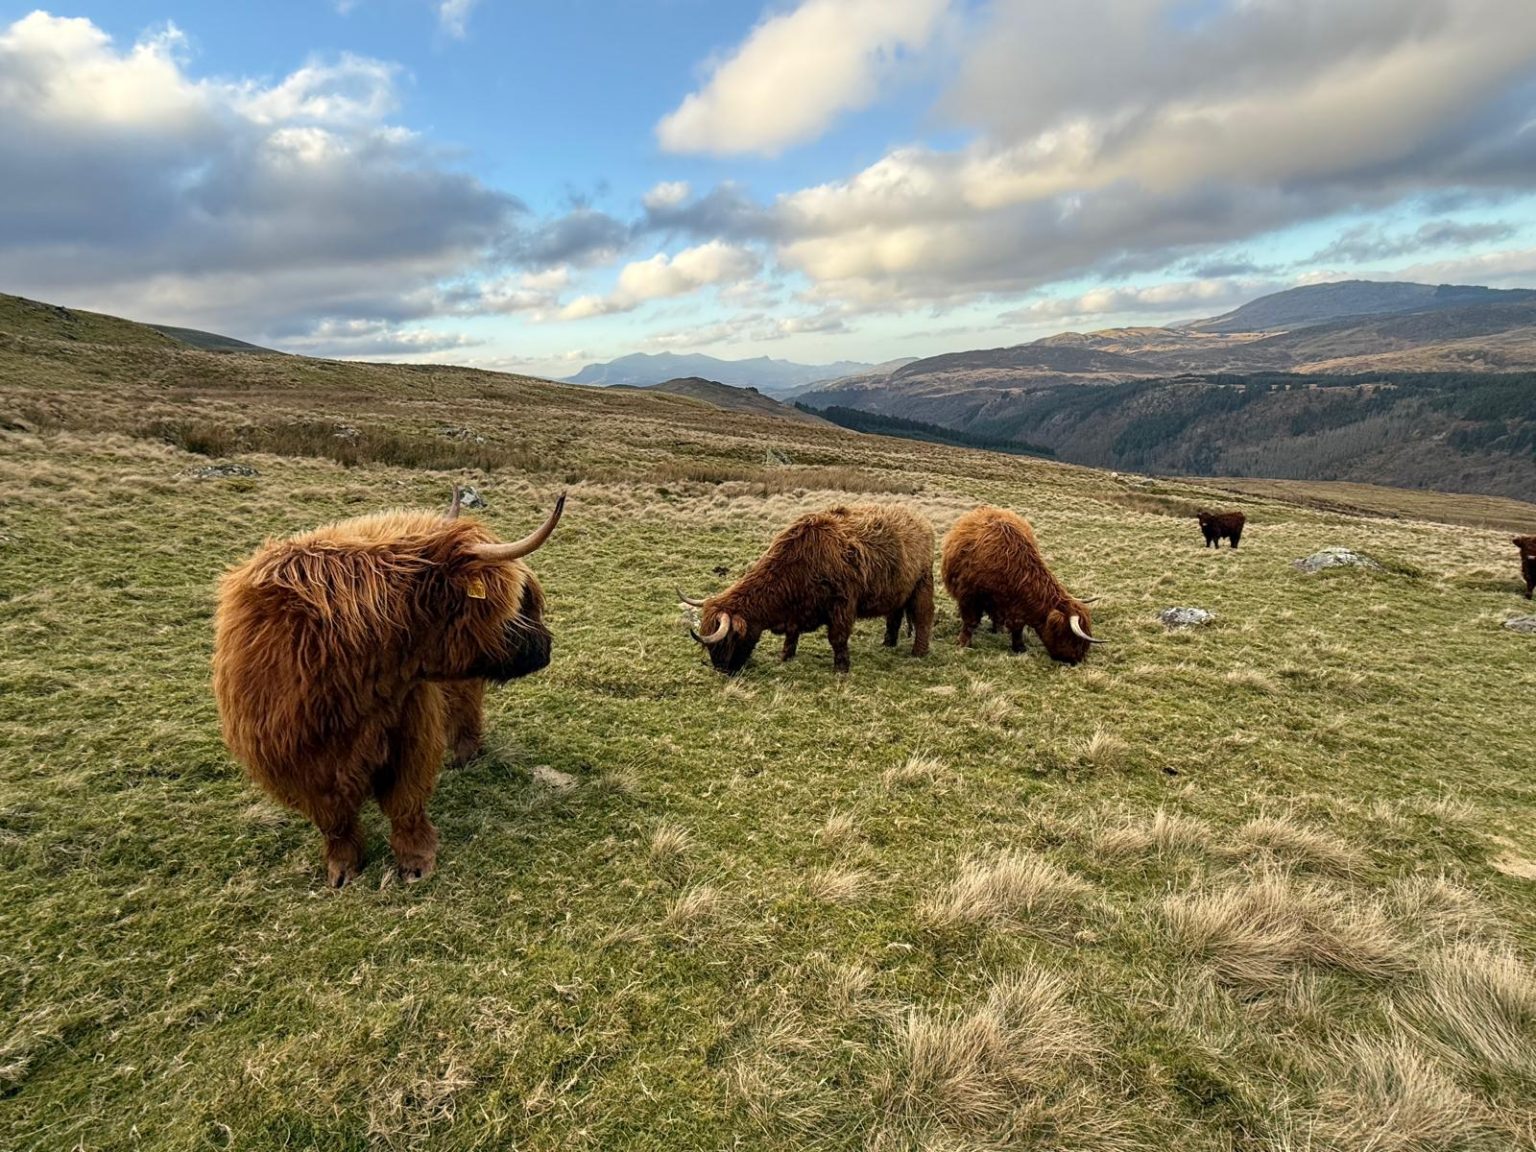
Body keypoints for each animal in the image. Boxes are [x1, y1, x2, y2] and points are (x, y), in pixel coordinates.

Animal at [212, 488, 564, 887]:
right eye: (513, 604)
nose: (546, 646)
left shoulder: (410, 732)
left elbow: (405, 802)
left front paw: (416, 861)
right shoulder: (290, 758)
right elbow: (334, 820)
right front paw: (343, 869)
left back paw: (466, 756)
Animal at [679, 503, 935, 675]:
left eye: (727, 641)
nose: (722, 670)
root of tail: (920, 519)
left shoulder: (842, 603)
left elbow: (837, 637)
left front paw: (841, 668)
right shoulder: (796, 612)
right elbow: (792, 636)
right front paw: (785, 656)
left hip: (922, 582)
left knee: (924, 616)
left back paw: (918, 652)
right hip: (898, 590)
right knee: (894, 615)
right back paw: (888, 643)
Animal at [941, 506, 1105, 664]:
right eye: (1071, 638)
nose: (1077, 659)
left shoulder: (1016, 606)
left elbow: (1018, 627)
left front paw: (1019, 647)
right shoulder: (969, 596)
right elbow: (970, 621)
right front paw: (963, 643)